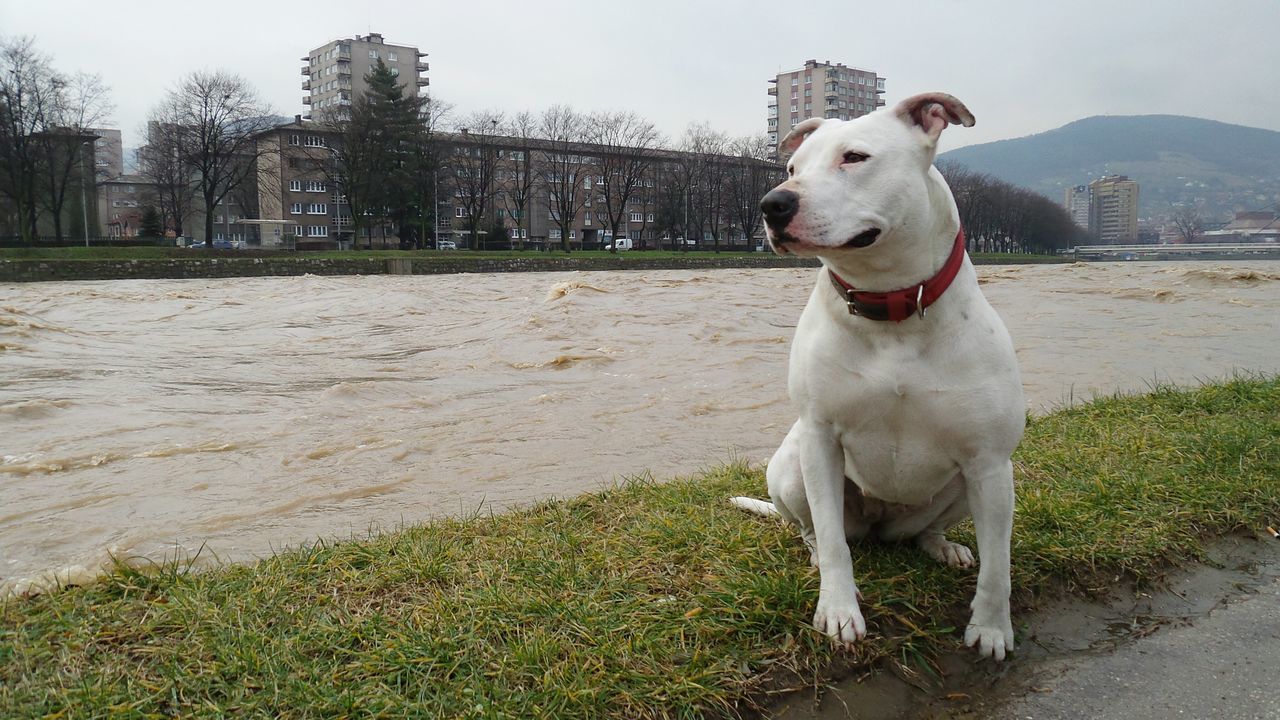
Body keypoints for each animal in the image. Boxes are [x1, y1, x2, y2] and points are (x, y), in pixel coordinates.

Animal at [737, 92, 1024, 661]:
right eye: (792, 168)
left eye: (854, 157)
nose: (772, 204)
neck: (889, 304)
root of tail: (880, 527)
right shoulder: (821, 438)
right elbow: (831, 540)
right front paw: (838, 610)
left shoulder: (989, 462)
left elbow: (997, 565)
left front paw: (991, 628)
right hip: (791, 468)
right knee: (817, 531)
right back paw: (815, 554)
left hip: (966, 486)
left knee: (926, 532)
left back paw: (943, 546)